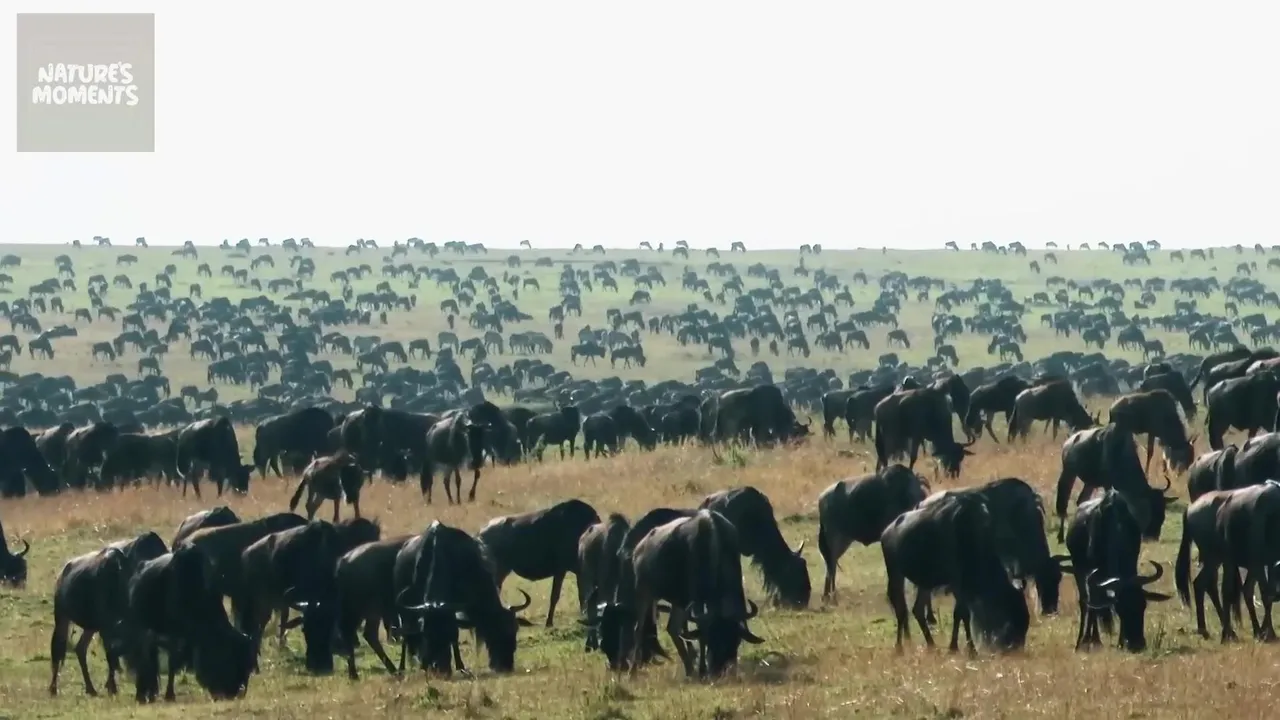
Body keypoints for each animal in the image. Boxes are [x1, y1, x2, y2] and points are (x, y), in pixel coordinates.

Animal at [49, 532, 168, 696]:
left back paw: (90, 688)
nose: (150, 691)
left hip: (90, 627)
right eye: (139, 564)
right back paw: (54, 688)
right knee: (58, 650)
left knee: (80, 649)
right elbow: (111, 654)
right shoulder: (107, 626)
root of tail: (62, 574)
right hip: (62, 618)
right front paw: (112, 687)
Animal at [880, 492, 1030, 653]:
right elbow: (963, 613)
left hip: (924, 583)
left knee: (917, 610)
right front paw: (969, 649)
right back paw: (899, 647)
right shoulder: (957, 582)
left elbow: (959, 614)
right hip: (895, 574)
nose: (1016, 646)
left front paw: (956, 647)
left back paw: (931, 644)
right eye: (1013, 612)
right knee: (901, 609)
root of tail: (886, 532)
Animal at [1064, 490, 1172, 652]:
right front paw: (1092, 640)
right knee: (1085, 603)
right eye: (1120, 609)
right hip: (1079, 570)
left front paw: (1120, 642)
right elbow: (1094, 605)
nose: (1137, 644)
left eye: (1143, 606)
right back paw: (1084, 641)